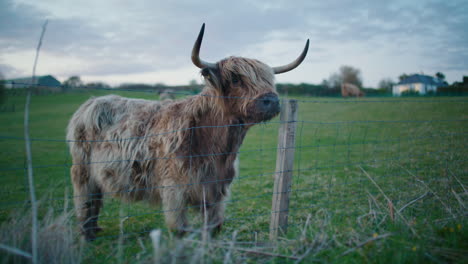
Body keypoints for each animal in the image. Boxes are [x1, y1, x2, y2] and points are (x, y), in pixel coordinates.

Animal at [66, 23, 308, 240]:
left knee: (96, 199)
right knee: (85, 199)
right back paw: (87, 234)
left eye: (270, 79)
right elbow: (180, 230)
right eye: (236, 78)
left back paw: (95, 228)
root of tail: (91, 102)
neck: (217, 146)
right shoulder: (174, 190)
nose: (272, 101)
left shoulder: (217, 190)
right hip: (82, 169)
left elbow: (213, 227)